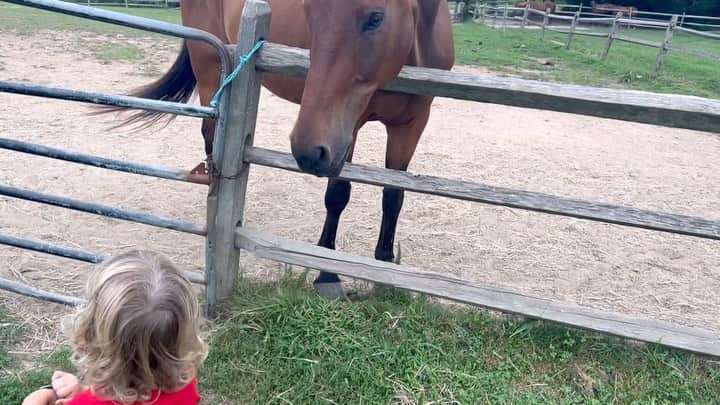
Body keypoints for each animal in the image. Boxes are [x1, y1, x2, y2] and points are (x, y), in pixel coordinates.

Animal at [108, 0, 454, 298]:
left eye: (375, 18)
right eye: (309, 12)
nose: (307, 150)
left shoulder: (411, 125)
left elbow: (394, 195)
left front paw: (385, 269)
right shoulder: (349, 128)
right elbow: (338, 194)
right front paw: (327, 274)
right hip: (210, 67)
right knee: (210, 134)